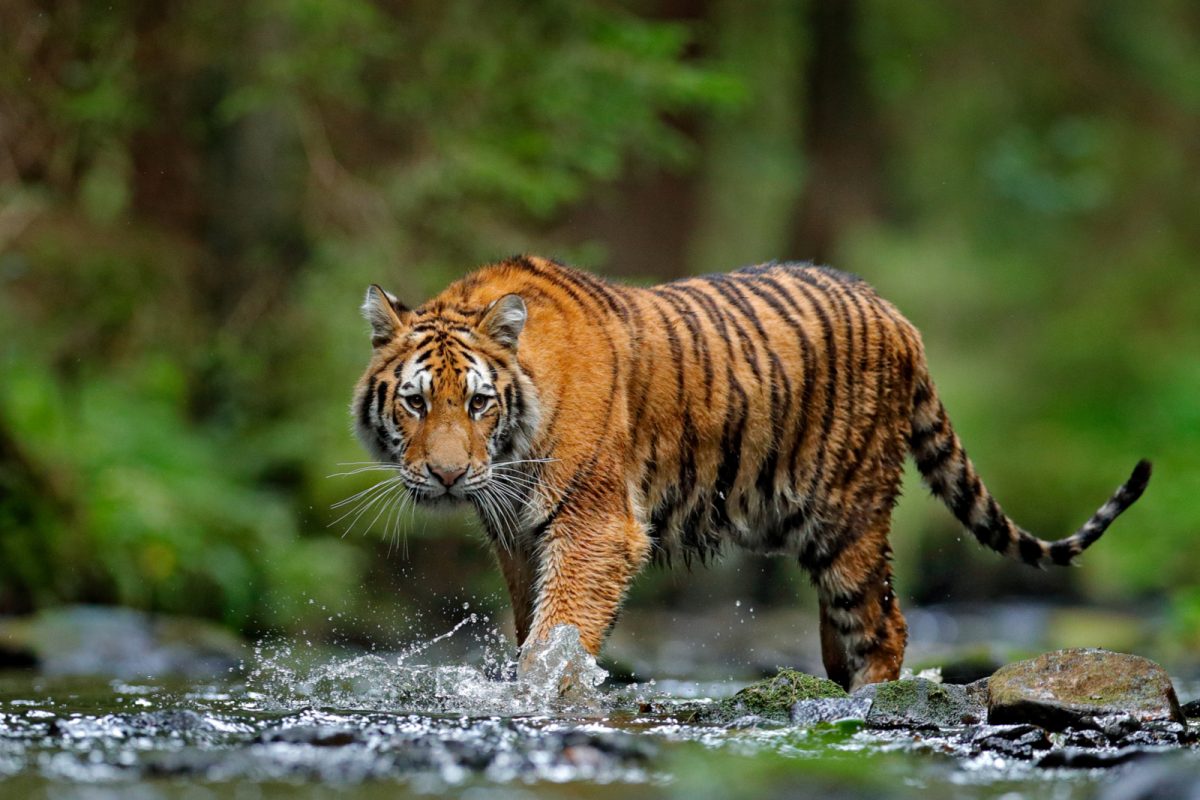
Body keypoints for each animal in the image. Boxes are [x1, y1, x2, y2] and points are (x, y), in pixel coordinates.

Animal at [352, 255, 1151, 690]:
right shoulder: (518, 538)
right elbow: (533, 628)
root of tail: (896, 314)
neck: (511, 451)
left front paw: (545, 694)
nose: (448, 476)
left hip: (849, 516)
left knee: (884, 624)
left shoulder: (595, 527)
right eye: (416, 402)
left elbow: (559, 634)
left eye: (478, 402)